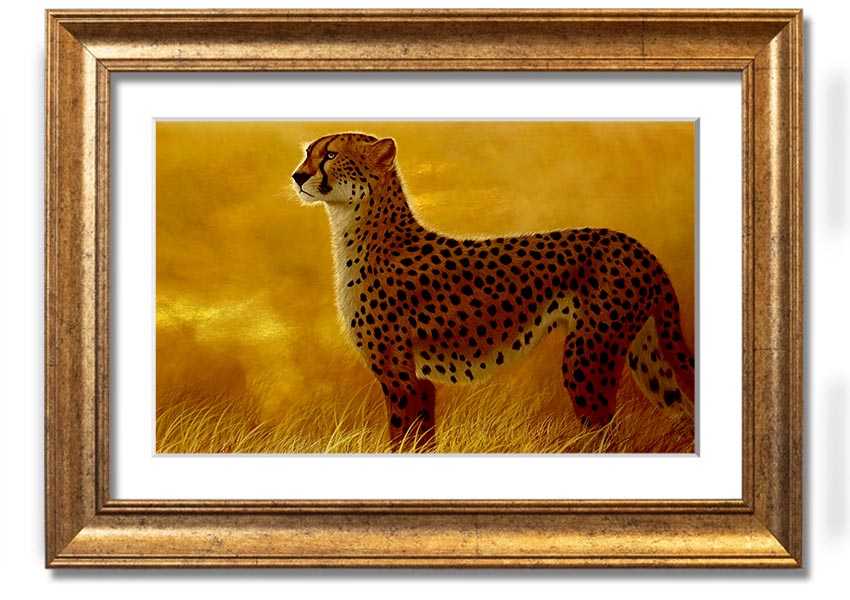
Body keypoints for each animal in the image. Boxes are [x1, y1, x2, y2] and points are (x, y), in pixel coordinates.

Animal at [292, 132, 695, 449]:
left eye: (330, 155)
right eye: (308, 152)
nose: (297, 176)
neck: (358, 226)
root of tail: (635, 244)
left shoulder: (400, 376)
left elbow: (403, 440)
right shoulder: (419, 379)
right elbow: (420, 441)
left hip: (588, 356)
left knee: (606, 434)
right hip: (645, 353)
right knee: (682, 411)